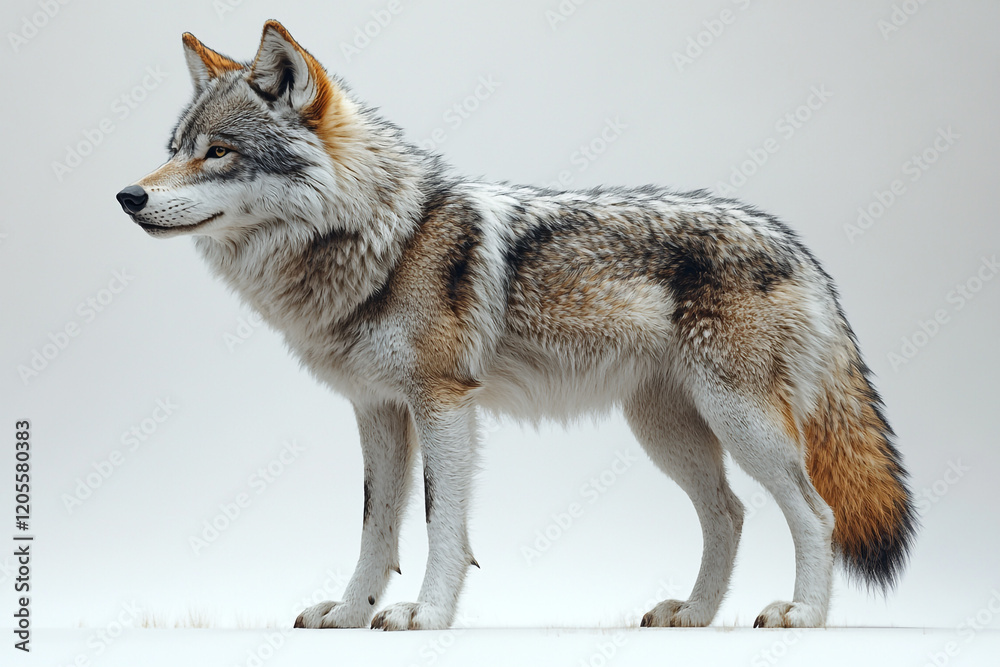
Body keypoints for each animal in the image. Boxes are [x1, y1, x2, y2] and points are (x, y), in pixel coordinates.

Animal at [116, 20, 916, 631]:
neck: (383, 240)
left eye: (218, 152)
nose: (128, 196)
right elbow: (377, 527)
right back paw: (693, 614)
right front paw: (349, 615)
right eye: (174, 148)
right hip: (669, 433)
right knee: (730, 513)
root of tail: (797, 245)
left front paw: (425, 616)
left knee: (815, 513)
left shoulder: (443, 403)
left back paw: (802, 615)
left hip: (741, 424)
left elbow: (441, 522)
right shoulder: (379, 411)